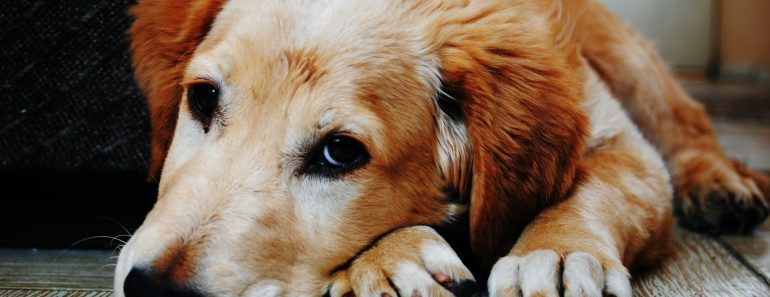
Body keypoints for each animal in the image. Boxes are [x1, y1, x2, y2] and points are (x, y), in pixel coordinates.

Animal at [115, 1, 768, 294]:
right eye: (202, 99)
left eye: (340, 153)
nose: (152, 289)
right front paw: (391, 260)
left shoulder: (625, 147)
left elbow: (596, 190)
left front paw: (558, 253)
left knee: (686, 121)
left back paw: (720, 184)